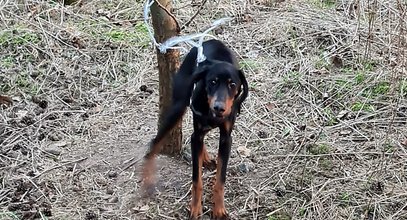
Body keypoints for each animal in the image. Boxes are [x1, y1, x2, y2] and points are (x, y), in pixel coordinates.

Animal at [143, 39, 250, 218]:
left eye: (232, 84)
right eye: (212, 82)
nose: (219, 108)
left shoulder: (226, 138)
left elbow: (220, 179)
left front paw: (218, 209)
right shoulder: (198, 128)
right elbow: (196, 179)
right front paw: (195, 207)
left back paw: (205, 157)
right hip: (178, 107)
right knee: (155, 143)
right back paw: (148, 179)